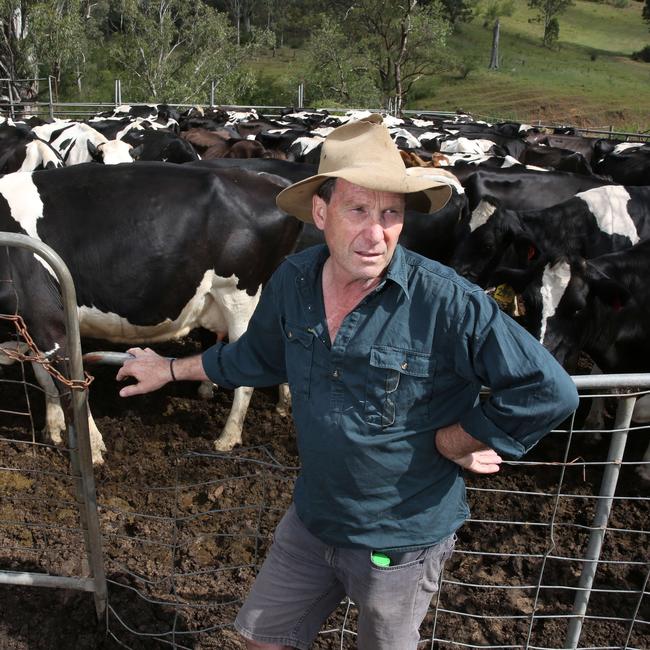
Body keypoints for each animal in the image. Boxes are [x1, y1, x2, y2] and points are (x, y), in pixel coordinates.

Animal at [0, 161, 298, 460]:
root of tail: (271, 181)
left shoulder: (48, 318)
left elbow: (69, 388)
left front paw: (93, 449)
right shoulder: (29, 323)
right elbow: (43, 377)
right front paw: (53, 429)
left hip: (240, 296)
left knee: (246, 376)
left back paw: (228, 437)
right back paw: (283, 404)